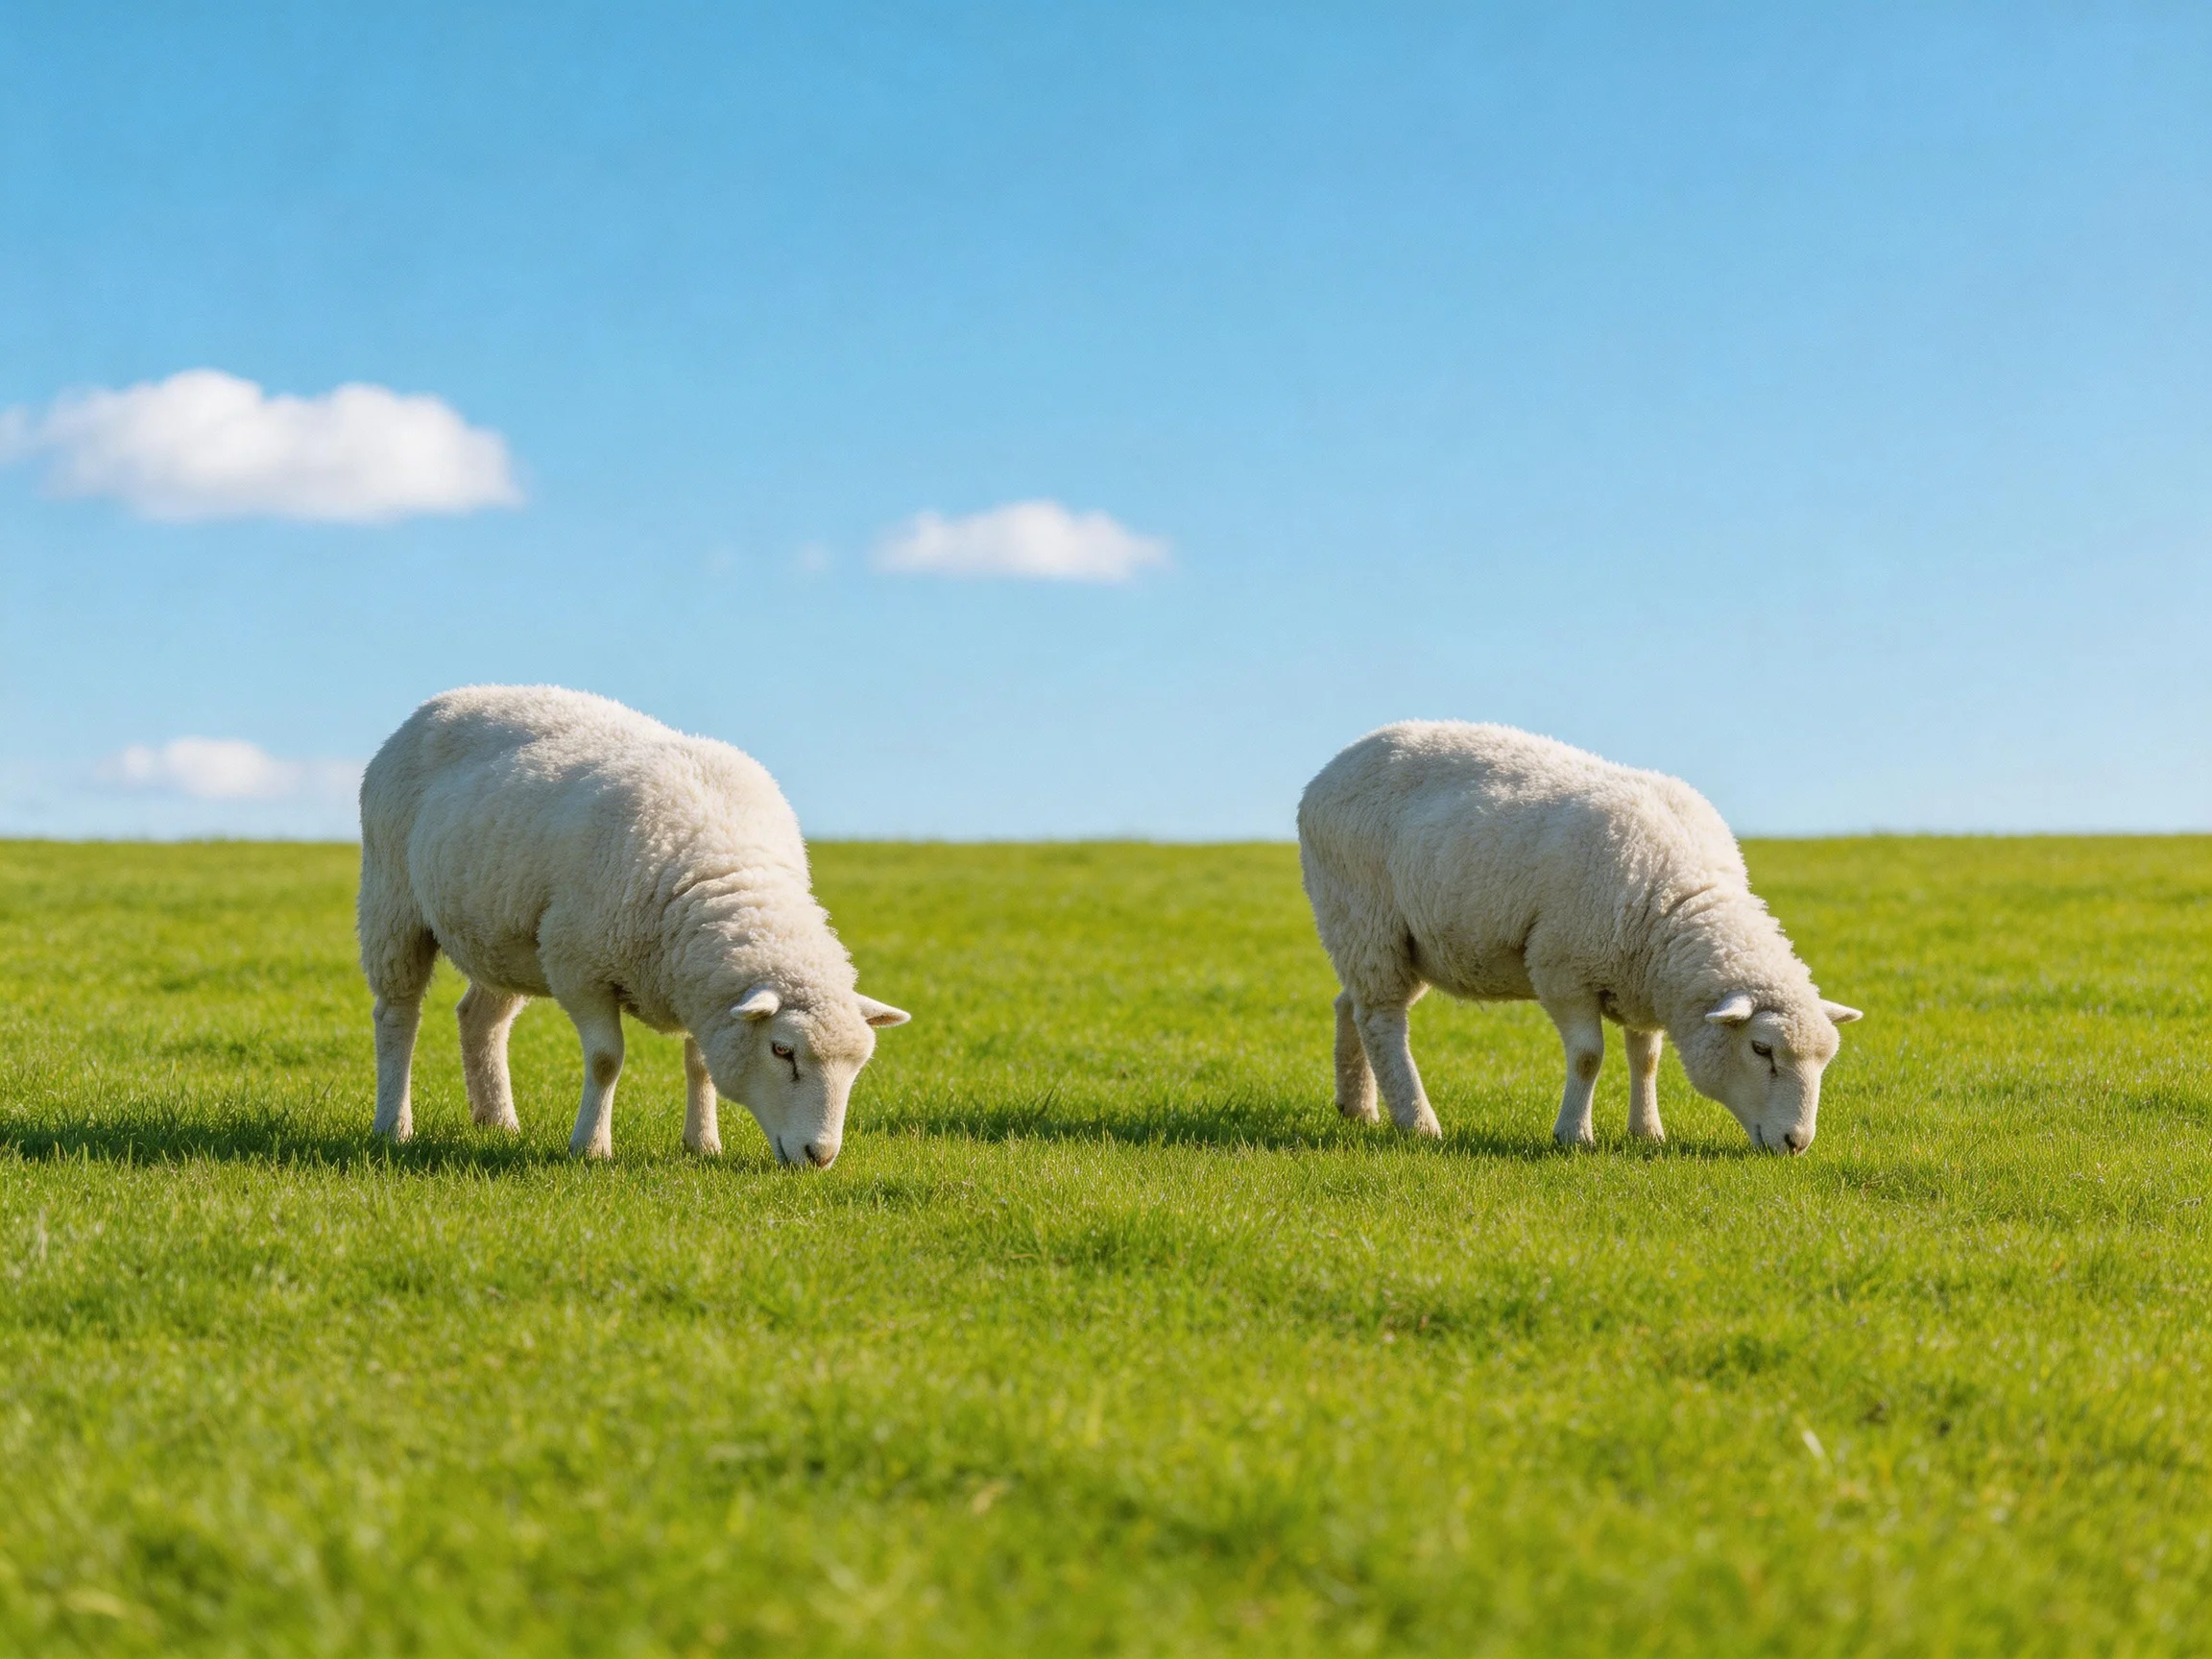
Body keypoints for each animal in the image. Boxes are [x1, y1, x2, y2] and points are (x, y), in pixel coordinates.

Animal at [356, 685, 909, 1166]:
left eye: (858, 1066)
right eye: (782, 1050)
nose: (821, 1156)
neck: (725, 866)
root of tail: (448, 699)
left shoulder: (699, 984)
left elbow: (700, 1064)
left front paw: (703, 1145)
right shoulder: (578, 965)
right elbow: (606, 1059)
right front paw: (591, 1148)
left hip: (503, 936)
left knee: (480, 1019)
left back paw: (497, 1121)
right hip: (392, 901)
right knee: (397, 1016)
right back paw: (393, 1126)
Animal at [1297, 722, 1861, 1153]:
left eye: (1825, 1060)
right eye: (1762, 1049)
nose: (1797, 1143)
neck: (1677, 899)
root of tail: (1331, 768)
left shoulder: (1640, 979)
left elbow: (1646, 1056)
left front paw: (1647, 1132)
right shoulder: (1562, 968)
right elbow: (1589, 1056)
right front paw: (1574, 1135)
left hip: (1387, 938)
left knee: (1351, 1005)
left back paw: (1358, 1106)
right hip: (1364, 916)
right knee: (1383, 1021)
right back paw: (1417, 1123)